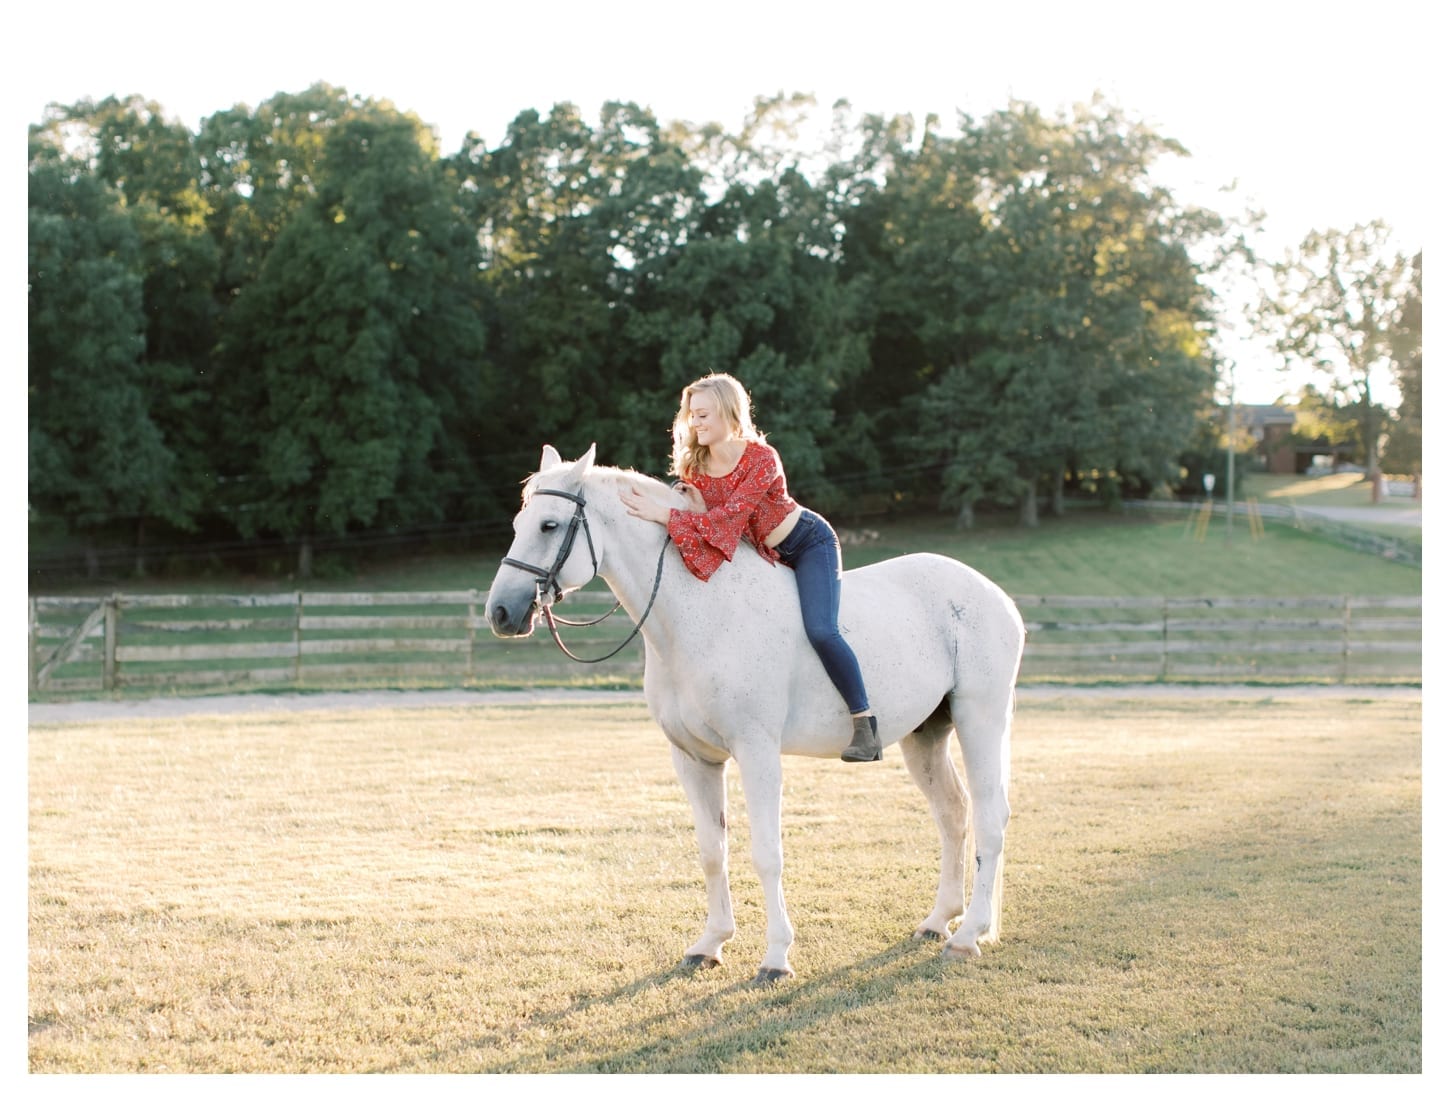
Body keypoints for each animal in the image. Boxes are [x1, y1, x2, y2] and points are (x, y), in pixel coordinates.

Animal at [484, 446, 1020, 980]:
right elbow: (711, 852)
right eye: (518, 522)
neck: (703, 615)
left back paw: (969, 935)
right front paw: (710, 943)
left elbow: (766, 854)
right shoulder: (694, 759)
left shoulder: (757, 752)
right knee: (953, 813)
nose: (501, 613)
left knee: (991, 819)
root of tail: (995, 595)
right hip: (925, 735)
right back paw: (939, 921)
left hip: (980, 720)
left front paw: (776, 957)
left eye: (549, 525)